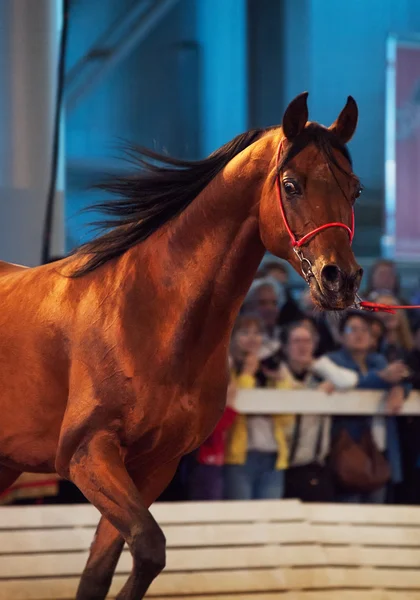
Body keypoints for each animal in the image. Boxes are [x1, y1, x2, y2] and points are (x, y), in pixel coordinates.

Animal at [0, 91, 364, 596]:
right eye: (291, 185)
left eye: (355, 190)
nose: (340, 279)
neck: (155, 321)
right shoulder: (86, 453)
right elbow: (150, 546)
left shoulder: (154, 466)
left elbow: (109, 568)